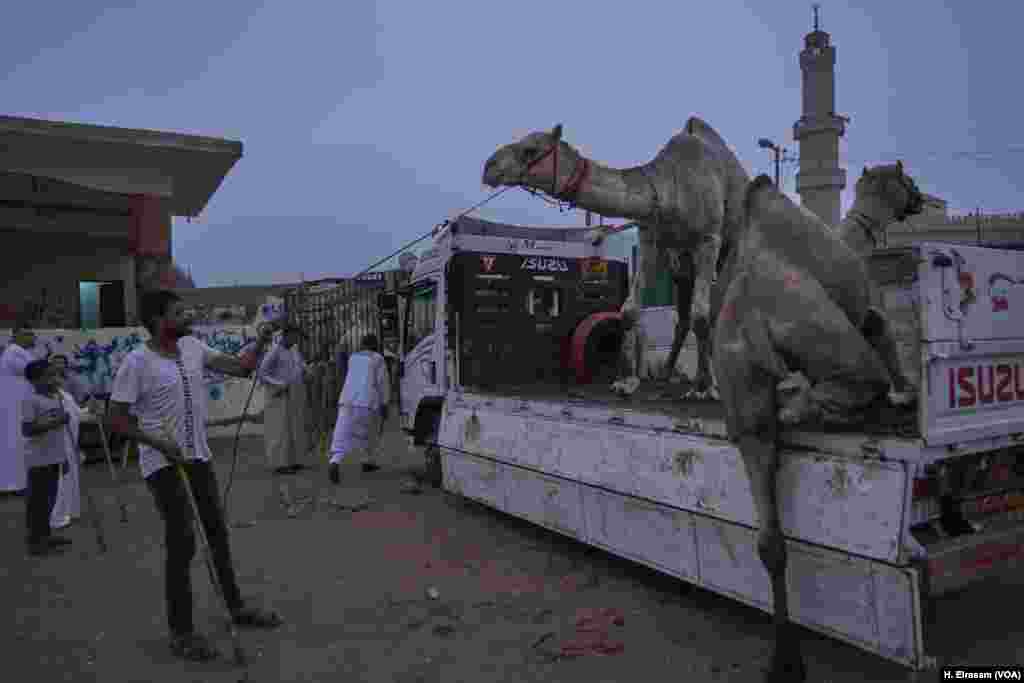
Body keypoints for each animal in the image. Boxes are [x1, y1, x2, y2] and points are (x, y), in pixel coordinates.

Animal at [479, 116, 753, 401]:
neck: (669, 187)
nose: (489, 167)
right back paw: (668, 373)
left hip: (730, 243)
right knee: (684, 315)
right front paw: (625, 381)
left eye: (530, 150)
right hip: (681, 259)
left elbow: (702, 315)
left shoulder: (708, 240)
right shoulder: (651, 239)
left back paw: (713, 380)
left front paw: (706, 387)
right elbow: (629, 309)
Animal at [716, 162, 925, 679]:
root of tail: (750, 322)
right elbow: (885, 337)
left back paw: (786, 661)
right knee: (859, 376)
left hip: (740, 390)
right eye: (906, 180)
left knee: (768, 533)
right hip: (823, 335)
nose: (920, 199)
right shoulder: (867, 310)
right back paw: (807, 403)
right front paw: (907, 395)